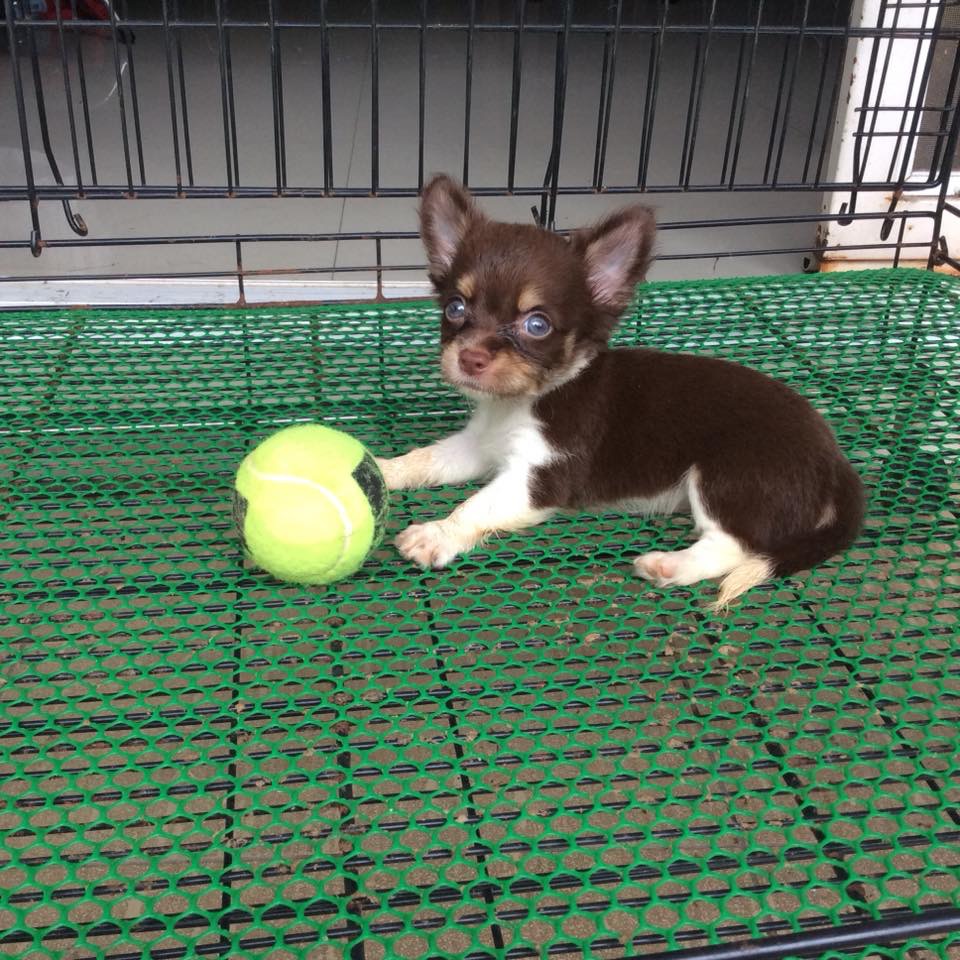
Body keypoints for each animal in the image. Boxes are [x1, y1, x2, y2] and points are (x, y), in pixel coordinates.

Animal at [377, 175, 864, 608]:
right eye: (455, 308)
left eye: (537, 325)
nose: (471, 358)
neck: (522, 402)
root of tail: (836, 463)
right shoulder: (479, 446)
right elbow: (425, 459)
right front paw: (379, 470)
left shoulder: (540, 477)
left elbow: (477, 504)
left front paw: (437, 533)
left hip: (725, 478)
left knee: (733, 546)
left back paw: (669, 565)